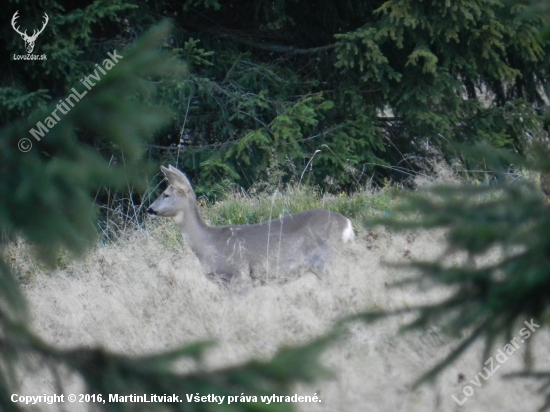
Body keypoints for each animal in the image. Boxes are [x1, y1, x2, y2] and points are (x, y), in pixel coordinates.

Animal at [148, 164, 354, 286]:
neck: (208, 243)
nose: (150, 209)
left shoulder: (240, 276)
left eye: (166, 194)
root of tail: (347, 224)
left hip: (324, 259)